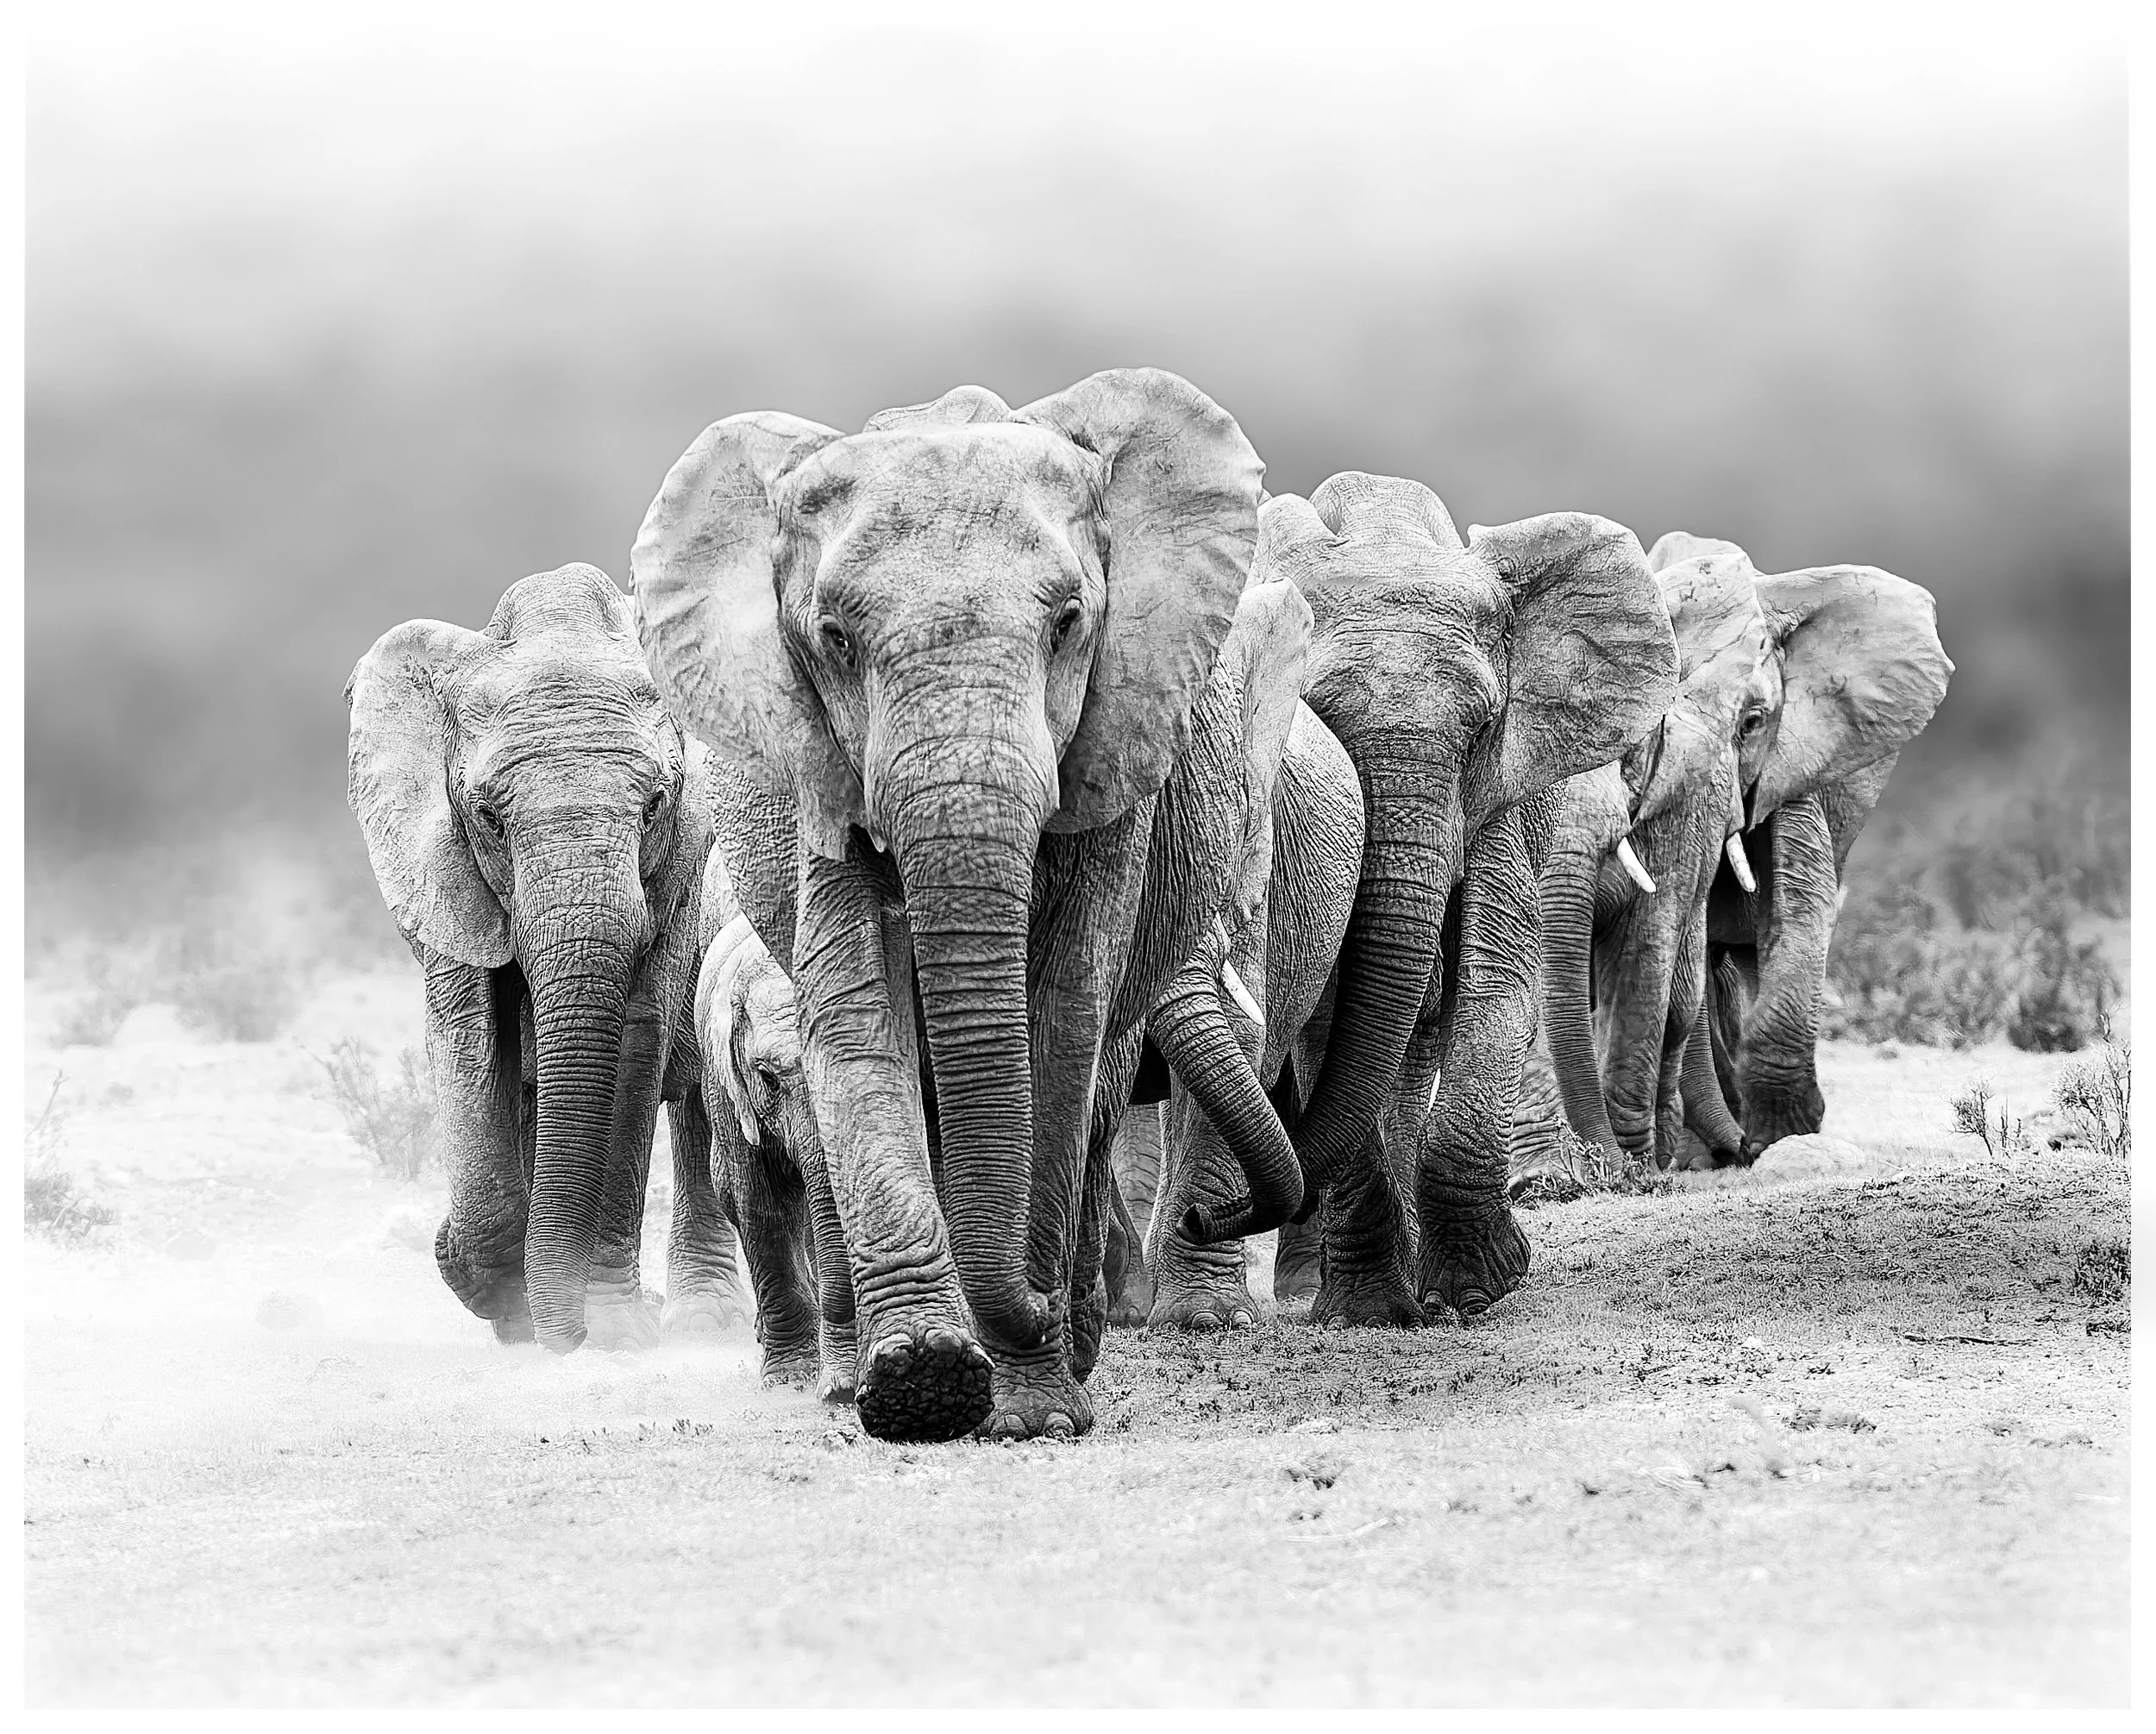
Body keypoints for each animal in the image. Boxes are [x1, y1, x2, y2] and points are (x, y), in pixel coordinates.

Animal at [345, 563, 749, 1352]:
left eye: (656, 804)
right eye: (488, 818)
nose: (572, 1332)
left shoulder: (679, 876)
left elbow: (633, 1039)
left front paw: (616, 1326)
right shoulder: (449, 877)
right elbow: (470, 1043)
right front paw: (504, 1301)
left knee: (698, 1105)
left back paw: (700, 1319)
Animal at [1259, 476, 1679, 1327]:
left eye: (1484, 727)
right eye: (1314, 714)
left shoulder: (1498, 801)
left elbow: (1496, 984)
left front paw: (1482, 1286)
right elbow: (1332, 1011)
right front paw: (1368, 1313)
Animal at [1528, 546, 1773, 1173]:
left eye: (1631, 749)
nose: (1747, 1147)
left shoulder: (1680, 809)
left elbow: (1641, 953)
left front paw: (1632, 1166)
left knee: (1679, 1005)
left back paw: (1664, 1155)